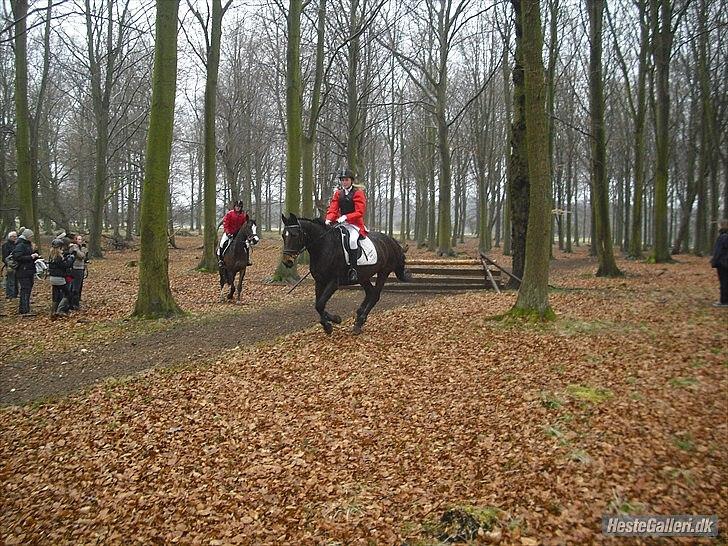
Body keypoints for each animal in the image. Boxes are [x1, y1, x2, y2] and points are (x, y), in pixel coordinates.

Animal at [280, 212, 410, 332]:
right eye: (283, 235)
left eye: (295, 235)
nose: (287, 261)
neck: (324, 247)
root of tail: (391, 240)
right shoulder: (319, 281)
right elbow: (318, 304)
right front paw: (330, 321)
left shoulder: (333, 282)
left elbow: (320, 304)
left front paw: (330, 323)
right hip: (363, 276)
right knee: (370, 292)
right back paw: (359, 316)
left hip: (383, 272)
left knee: (375, 296)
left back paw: (359, 322)